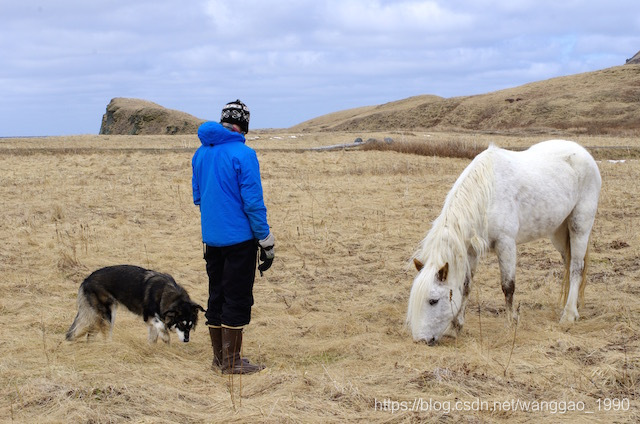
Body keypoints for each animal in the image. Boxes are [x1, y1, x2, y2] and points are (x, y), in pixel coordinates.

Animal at [66, 266, 204, 342]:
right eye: (181, 324)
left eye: (190, 326)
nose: (186, 340)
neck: (165, 293)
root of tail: (86, 279)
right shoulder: (149, 316)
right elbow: (160, 325)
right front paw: (165, 337)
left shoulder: (152, 324)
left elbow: (153, 338)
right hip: (107, 315)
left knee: (90, 334)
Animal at [410, 140, 600, 344]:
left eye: (433, 301)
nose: (420, 340)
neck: (486, 195)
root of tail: (582, 152)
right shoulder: (471, 250)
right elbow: (466, 286)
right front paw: (455, 328)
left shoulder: (506, 244)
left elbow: (508, 286)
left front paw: (511, 324)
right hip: (559, 232)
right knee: (569, 264)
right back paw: (574, 305)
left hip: (579, 226)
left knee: (576, 267)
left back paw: (569, 314)